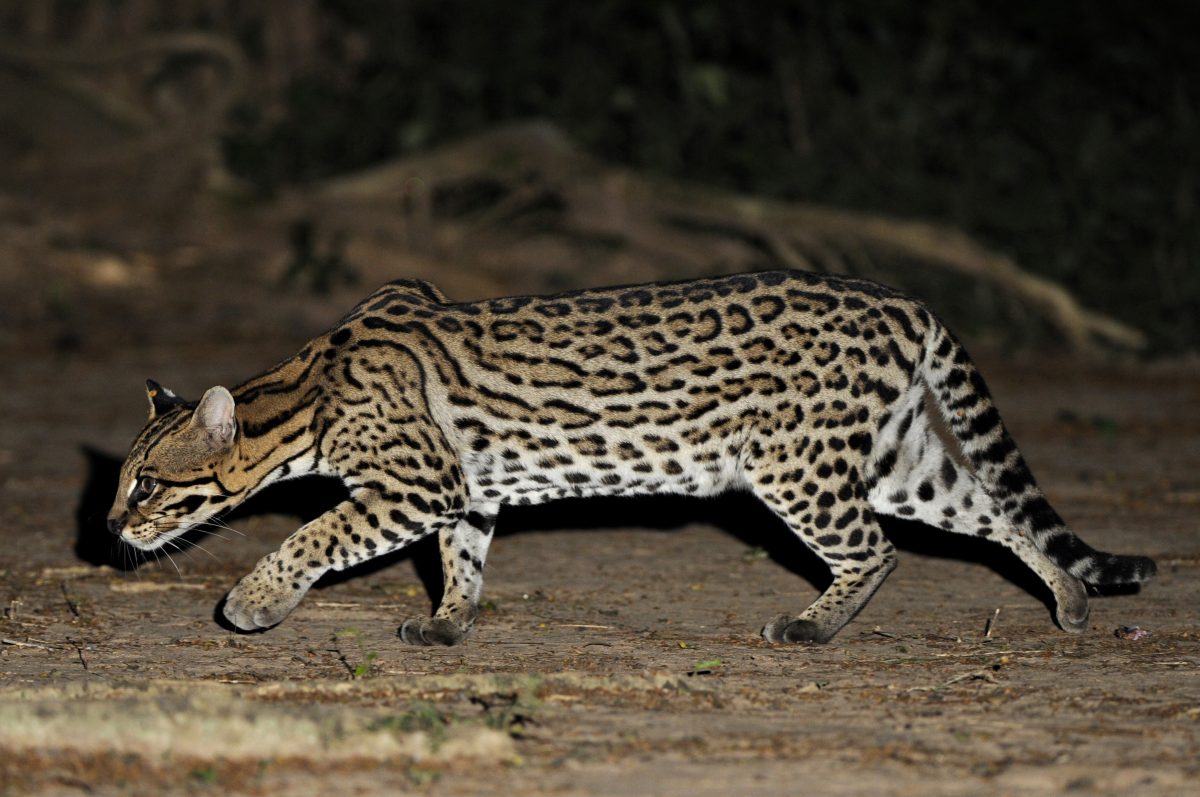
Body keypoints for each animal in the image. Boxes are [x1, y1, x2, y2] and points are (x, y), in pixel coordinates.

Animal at [105, 271, 1152, 643]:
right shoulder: (464, 490)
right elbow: (463, 558)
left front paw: (252, 601)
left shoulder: (412, 482)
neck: (306, 390)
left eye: (148, 484)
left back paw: (813, 625)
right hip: (898, 460)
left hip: (797, 465)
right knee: (997, 509)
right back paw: (1068, 597)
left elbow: (312, 535)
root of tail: (903, 300)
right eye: (119, 481)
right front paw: (449, 623)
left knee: (878, 550)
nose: (109, 526)